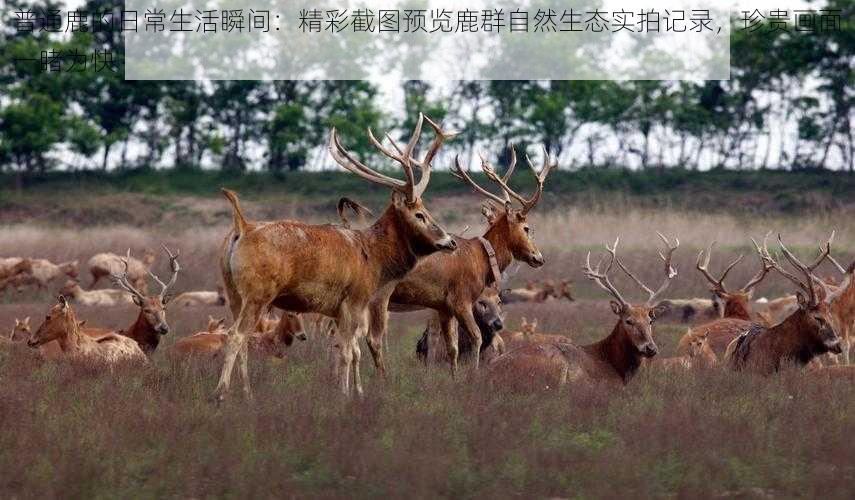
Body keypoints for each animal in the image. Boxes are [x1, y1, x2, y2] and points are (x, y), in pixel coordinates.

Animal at [217, 113, 458, 398]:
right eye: (420, 214)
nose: (450, 241)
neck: (375, 259)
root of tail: (241, 228)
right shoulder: (353, 299)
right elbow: (347, 351)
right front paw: (344, 394)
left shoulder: (338, 309)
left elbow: (349, 350)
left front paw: (354, 390)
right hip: (258, 291)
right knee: (235, 335)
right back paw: (220, 393)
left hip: (233, 291)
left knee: (239, 336)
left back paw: (245, 393)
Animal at [368, 145, 556, 376]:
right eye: (527, 228)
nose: (539, 257)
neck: (481, 259)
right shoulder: (460, 299)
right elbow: (475, 337)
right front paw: (472, 373)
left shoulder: (443, 306)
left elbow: (452, 345)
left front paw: (453, 375)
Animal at [488, 234, 684, 386]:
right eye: (628, 321)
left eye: (651, 321)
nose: (651, 348)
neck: (616, 367)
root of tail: (489, 373)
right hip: (554, 367)